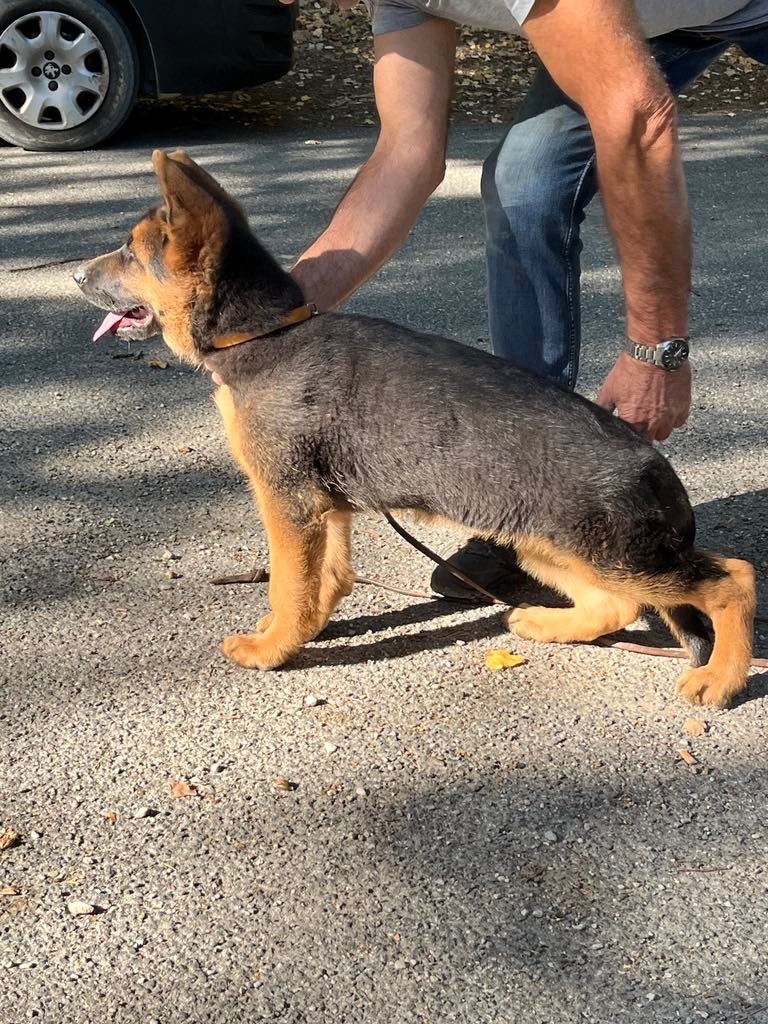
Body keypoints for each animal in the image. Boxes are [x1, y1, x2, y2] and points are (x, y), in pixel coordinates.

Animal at [75, 151, 753, 708]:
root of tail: (656, 465)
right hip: (549, 544)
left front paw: (273, 649)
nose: (76, 276)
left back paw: (722, 678)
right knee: (620, 604)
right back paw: (547, 623)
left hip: (611, 553)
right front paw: (302, 631)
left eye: (130, 254)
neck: (264, 335)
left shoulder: (289, 503)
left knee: (730, 581)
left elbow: (289, 588)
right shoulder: (326, 507)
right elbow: (325, 581)